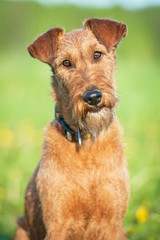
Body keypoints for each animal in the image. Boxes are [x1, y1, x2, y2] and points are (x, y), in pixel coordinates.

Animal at [14, 17, 130, 239]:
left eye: (97, 54)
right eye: (66, 63)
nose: (92, 97)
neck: (87, 142)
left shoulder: (113, 222)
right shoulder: (57, 223)